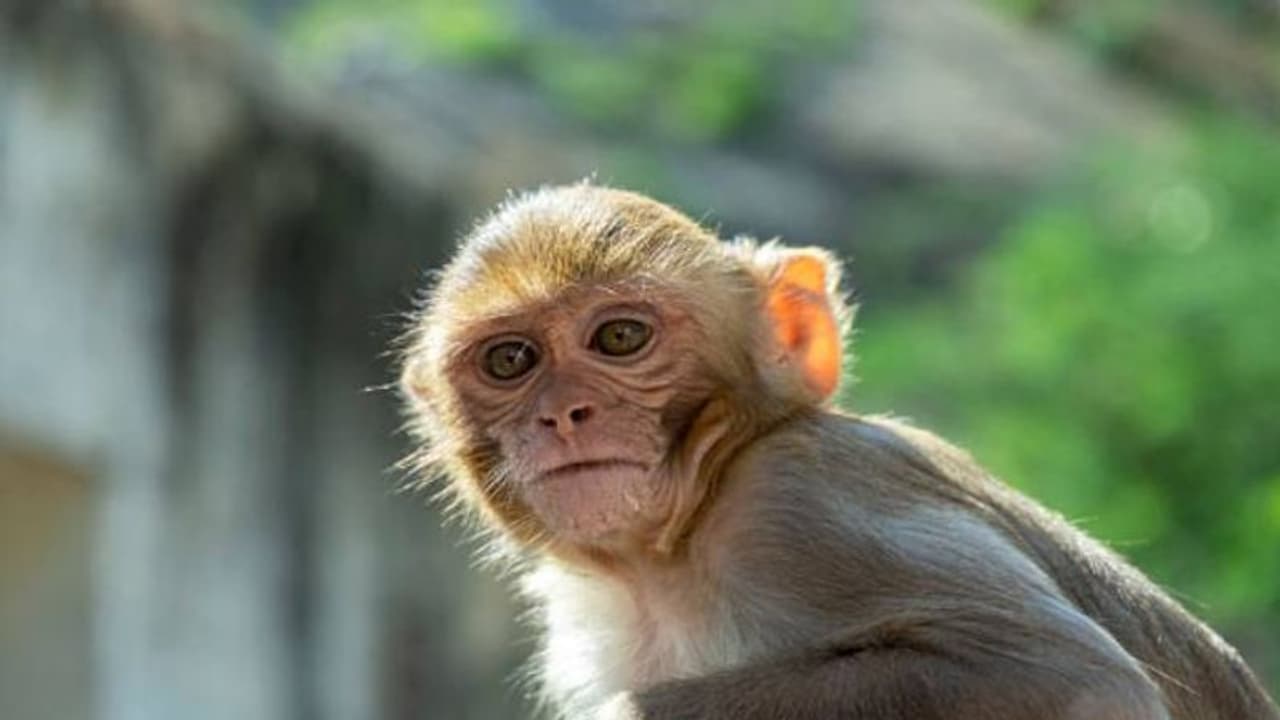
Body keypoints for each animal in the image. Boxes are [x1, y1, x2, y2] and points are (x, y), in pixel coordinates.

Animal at [398, 183, 1279, 720]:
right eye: (511, 360)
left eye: (619, 337)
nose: (565, 414)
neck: (670, 555)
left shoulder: (801, 503)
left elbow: (1073, 678)